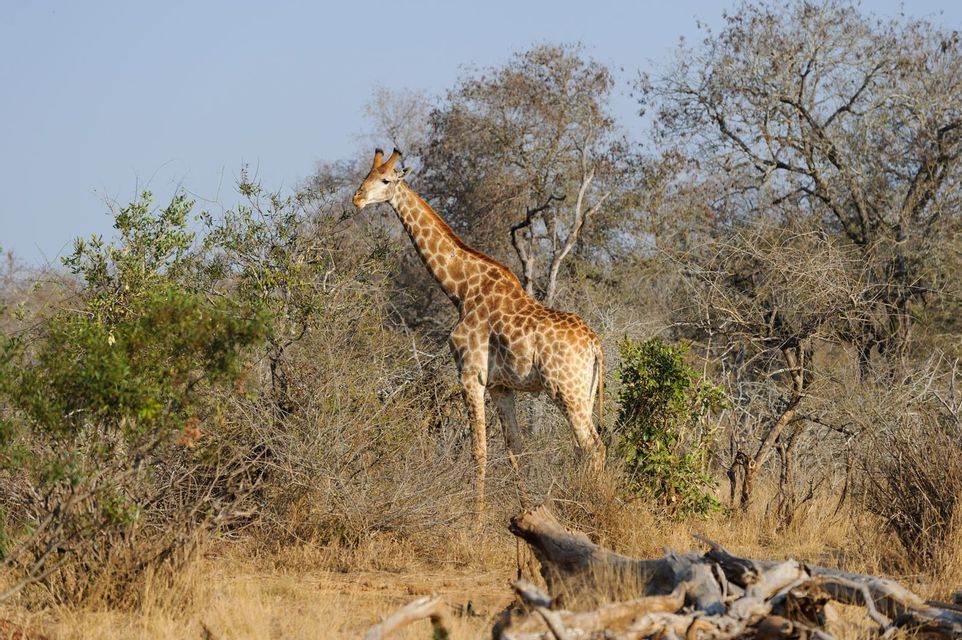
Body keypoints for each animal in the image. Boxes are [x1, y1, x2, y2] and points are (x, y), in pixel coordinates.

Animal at [352, 148, 606, 514]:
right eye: (366, 176)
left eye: (385, 180)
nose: (357, 198)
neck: (461, 288)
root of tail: (595, 343)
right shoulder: (501, 386)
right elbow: (515, 450)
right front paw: (526, 512)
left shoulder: (470, 374)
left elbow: (479, 452)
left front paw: (477, 518)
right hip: (584, 391)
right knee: (588, 446)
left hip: (565, 389)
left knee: (592, 446)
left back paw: (592, 508)